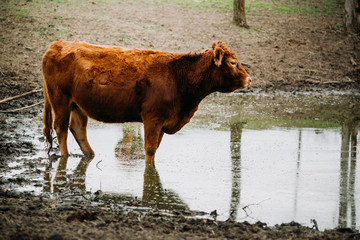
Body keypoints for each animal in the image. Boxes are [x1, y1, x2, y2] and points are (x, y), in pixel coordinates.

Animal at [42, 39, 250, 163]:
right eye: (232, 62)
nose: (249, 79)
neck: (178, 76)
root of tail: (58, 45)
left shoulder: (165, 121)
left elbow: (155, 148)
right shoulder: (153, 118)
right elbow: (149, 149)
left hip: (78, 105)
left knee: (78, 129)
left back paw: (90, 155)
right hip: (60, 100)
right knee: (61, 128)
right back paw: (65, 156)